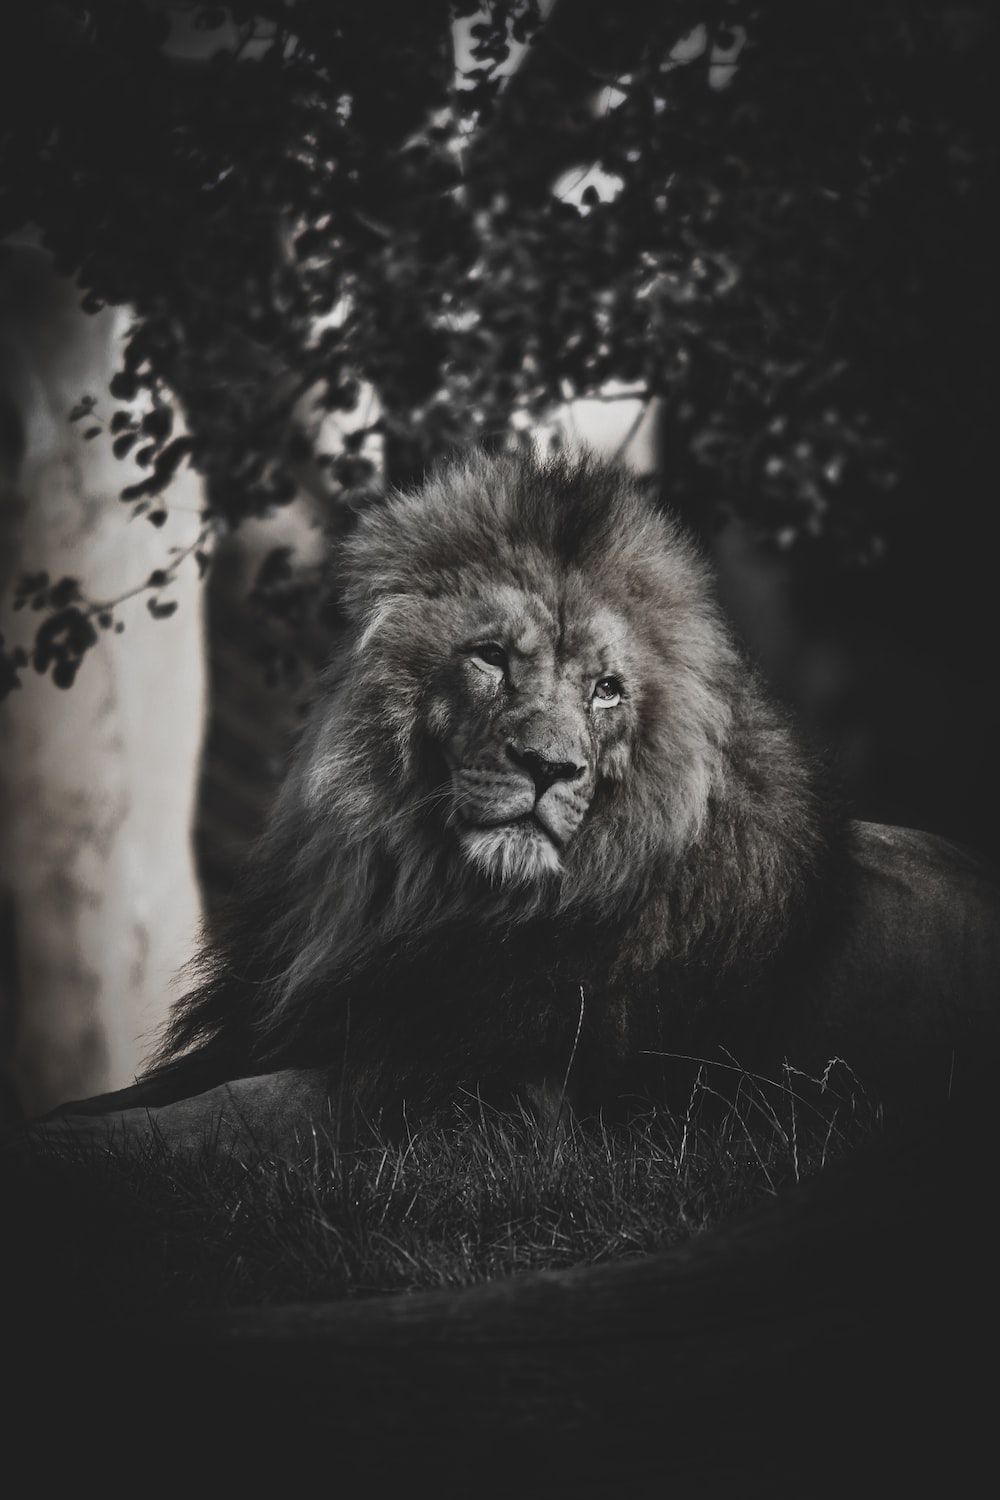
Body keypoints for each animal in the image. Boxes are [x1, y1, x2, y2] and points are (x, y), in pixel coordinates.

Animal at [24, 450, 1000, 1151]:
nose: (549, 767)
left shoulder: (479, 1102)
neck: (427, 897)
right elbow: (158, 1095)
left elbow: (221, 1114)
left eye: (606, 691)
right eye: (491, 657)